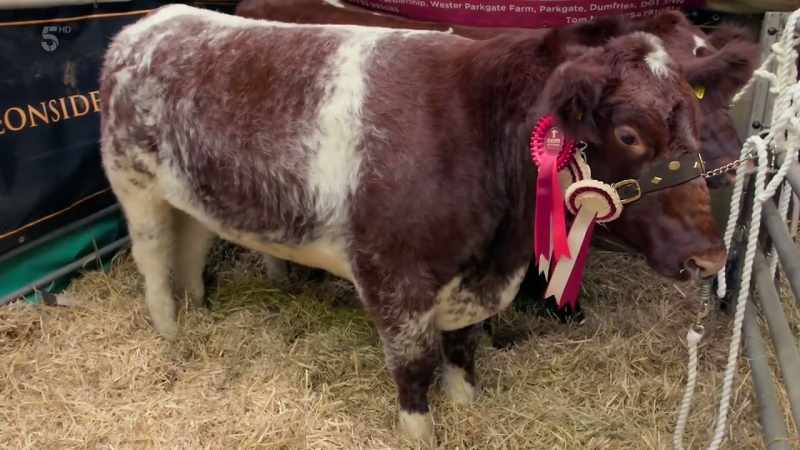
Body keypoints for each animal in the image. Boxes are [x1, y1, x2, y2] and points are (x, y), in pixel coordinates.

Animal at [100, 4, 728, 444]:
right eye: (629, 134)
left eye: (697, 119)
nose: (710, 258)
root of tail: (149, 24)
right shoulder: (392, 276)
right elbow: (415, 366)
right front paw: (420, 433)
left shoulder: (472, 281)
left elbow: (463, 349)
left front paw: (468, 408)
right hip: (135, 187)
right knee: (153, 263)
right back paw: (171, 334)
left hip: (192, 194)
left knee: (192, 247)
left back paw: (200, 309)